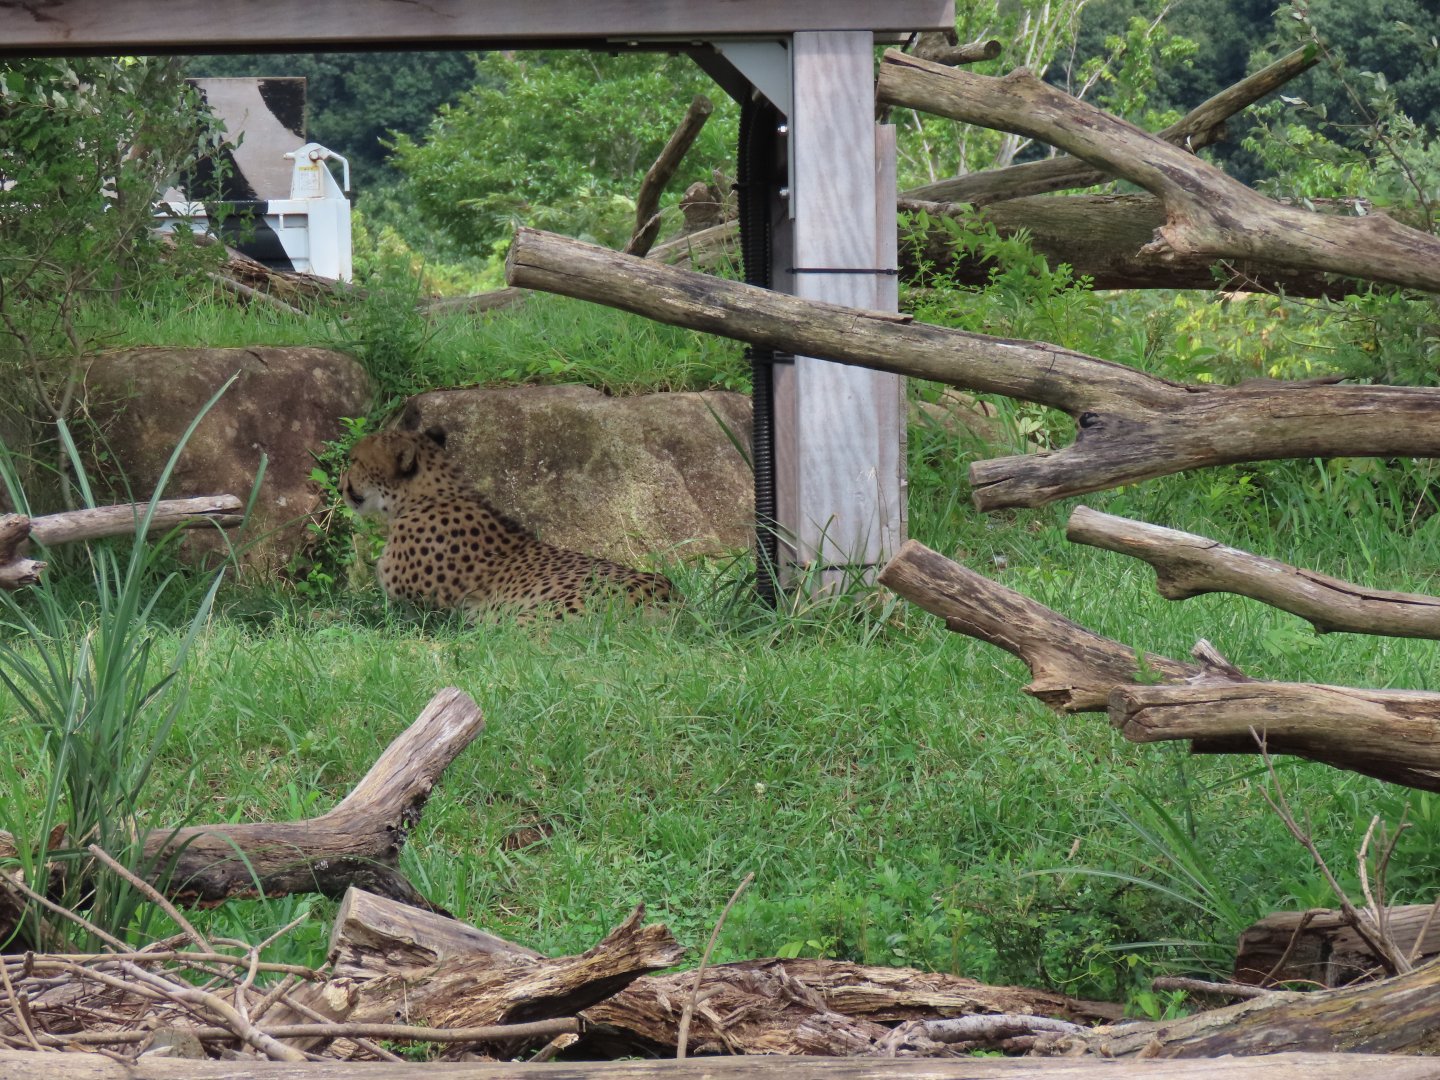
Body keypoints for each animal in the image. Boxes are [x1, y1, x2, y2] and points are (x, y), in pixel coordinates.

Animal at [340, 426, 675, 619]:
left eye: (354, 461)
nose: (341, 484)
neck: (428, 495)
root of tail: (666, 596)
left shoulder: (422, 609)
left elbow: (367, 610)